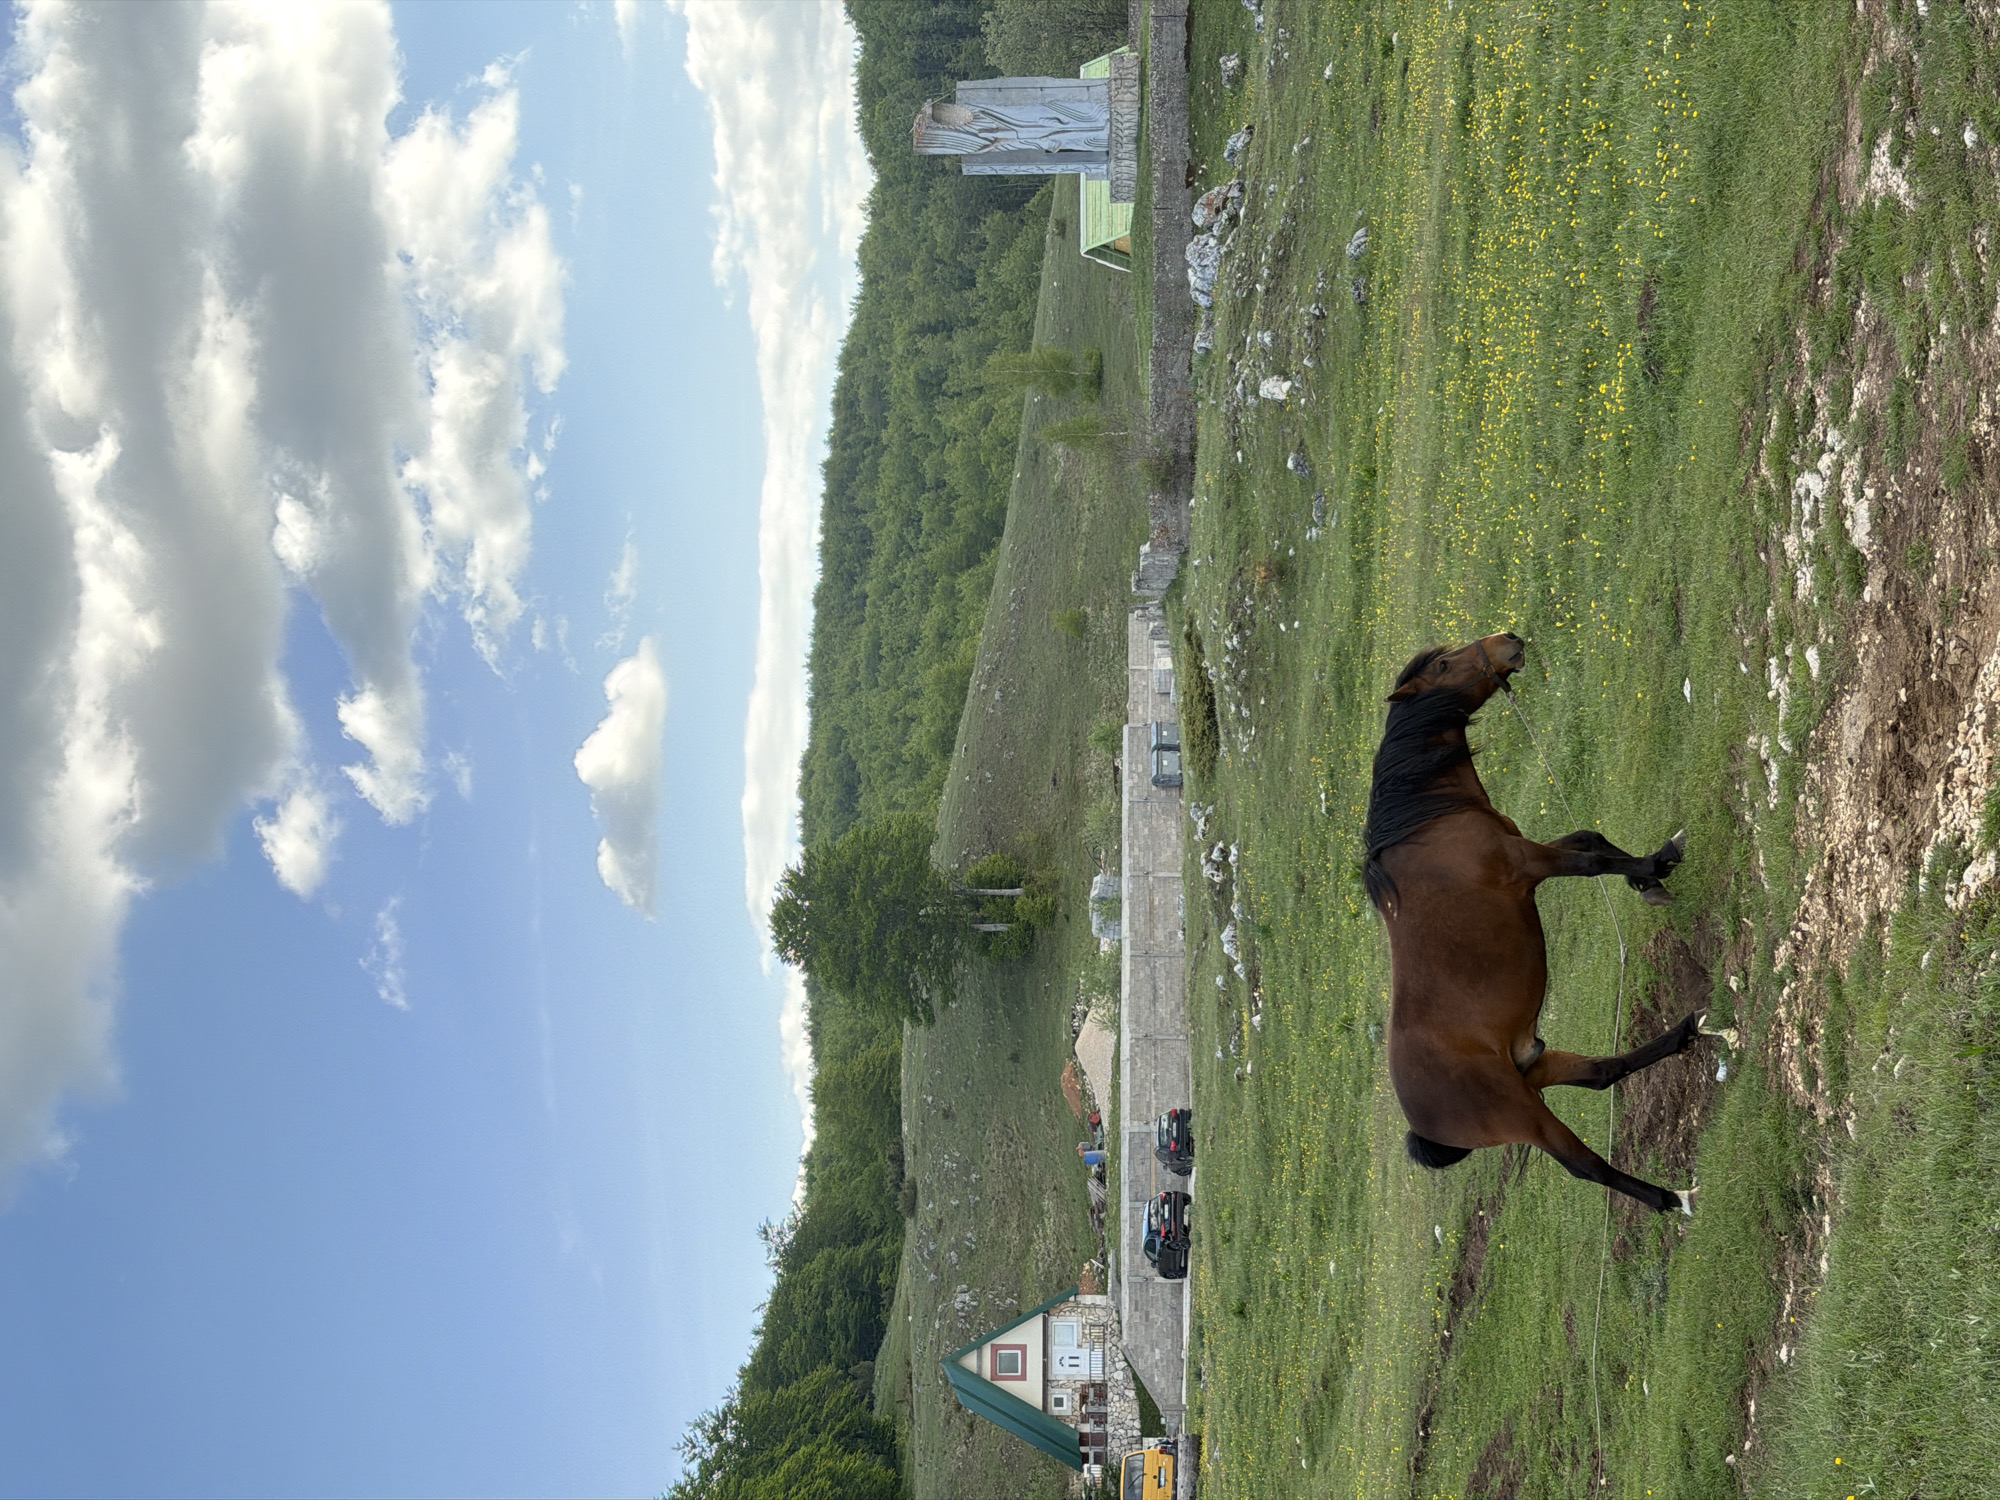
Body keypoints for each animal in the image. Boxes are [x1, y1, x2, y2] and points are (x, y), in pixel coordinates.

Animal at [1363, 633, 1730, 1214]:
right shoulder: (1526, 865)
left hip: (1534, 1066)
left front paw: (1653, 873)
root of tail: (1422, 1126)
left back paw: (1686, 1032)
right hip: (1526, 1115)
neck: (1430, 823)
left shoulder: (1531, 852)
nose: (1508, 641)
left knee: (1602, 1074)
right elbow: (1591, 860)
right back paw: (1673, 1199)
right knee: (1588, 1166)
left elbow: (1589, 838)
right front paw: (1655, 866)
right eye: (1443, 664)